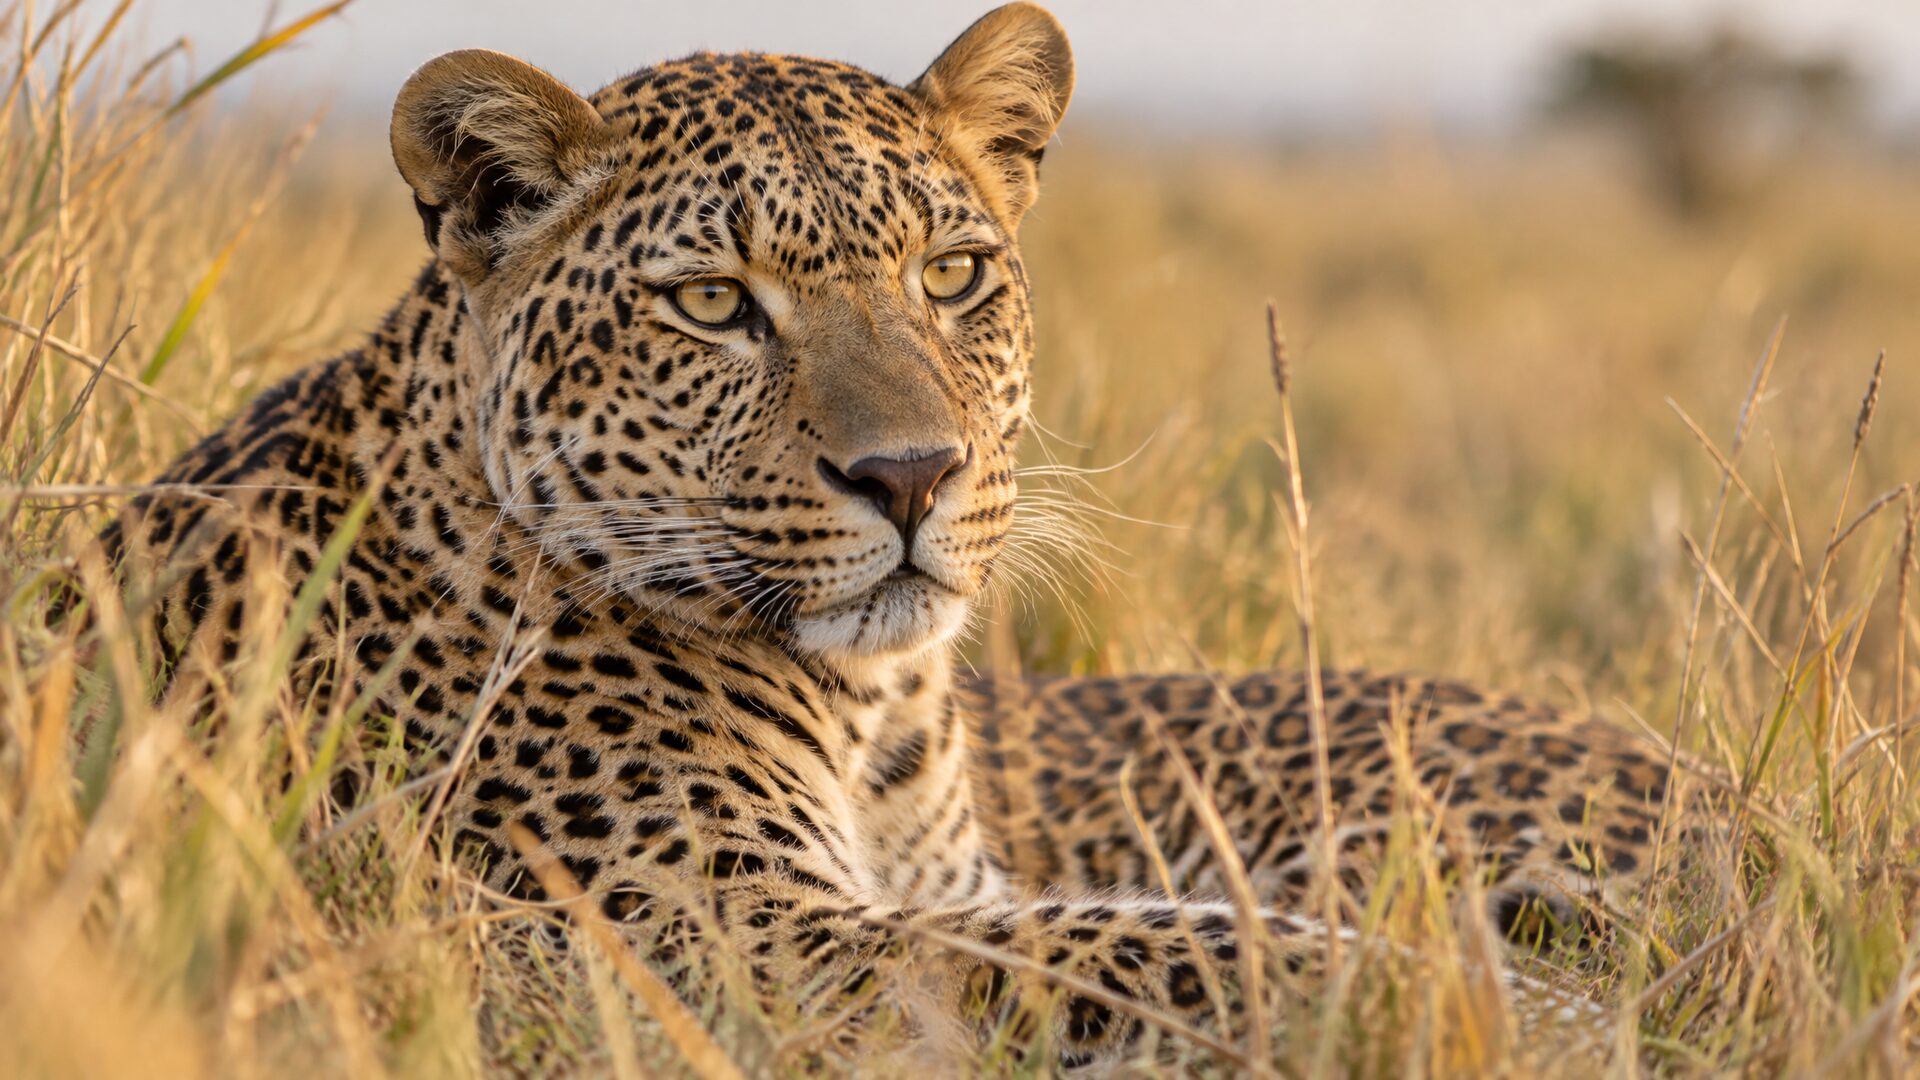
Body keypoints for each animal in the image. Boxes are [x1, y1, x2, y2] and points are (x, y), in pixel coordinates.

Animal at [99, 3, 1674, 1066]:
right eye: (714, 303)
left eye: (955, 274)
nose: (911, 476)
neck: (874, 713)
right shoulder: (721, 938)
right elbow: (1153, 942)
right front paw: (1516, 1011)